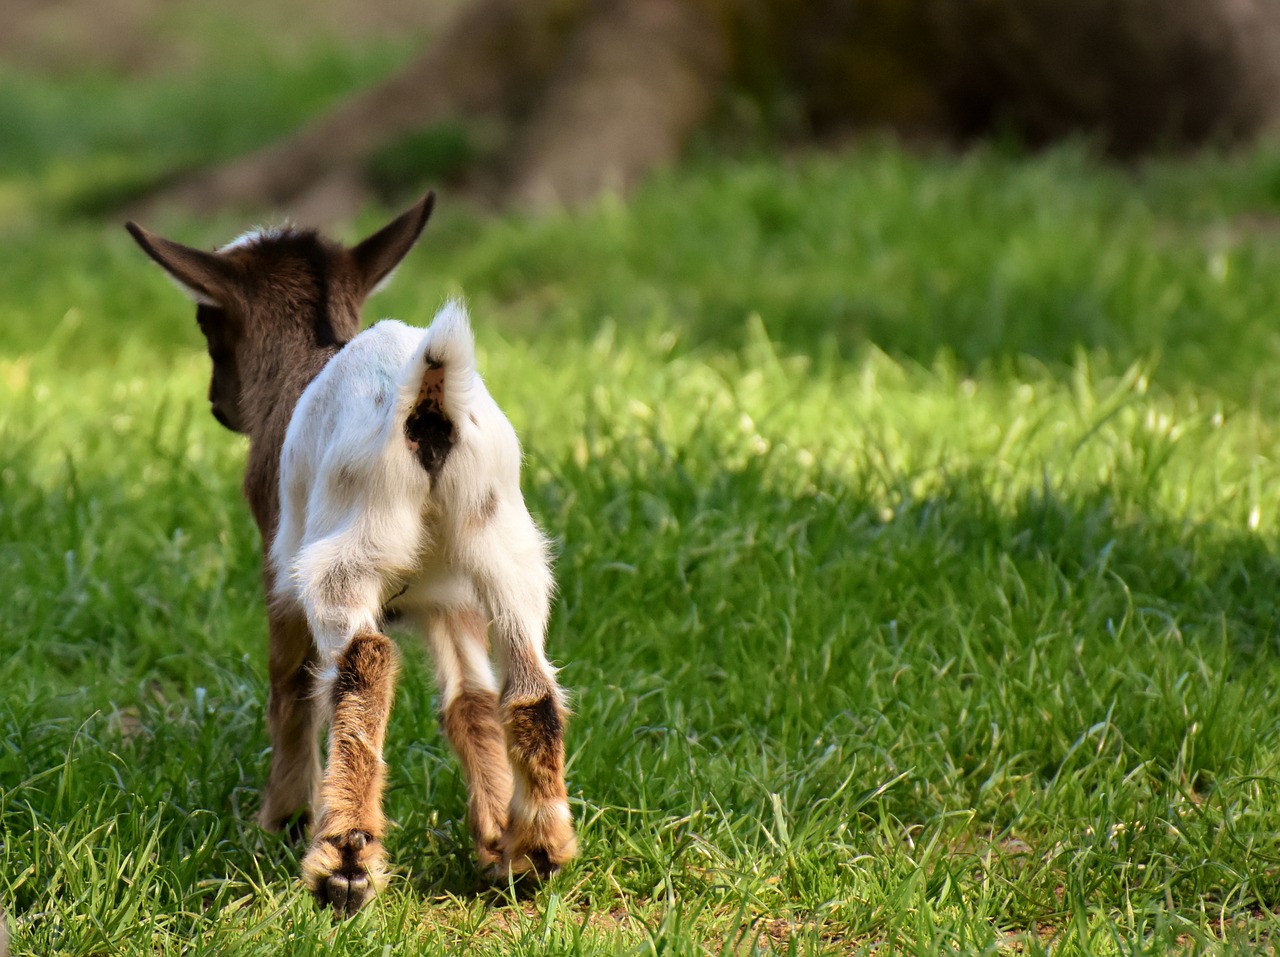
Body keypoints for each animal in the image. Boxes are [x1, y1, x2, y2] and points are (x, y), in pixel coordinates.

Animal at [123, 191, 576, 910]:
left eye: (205, 320)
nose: (218, 405)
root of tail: (428, 395)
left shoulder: (278, 562)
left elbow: (289, 682)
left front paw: (281, 816)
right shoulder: (448, 600)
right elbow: (470, 702)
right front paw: (493, 839)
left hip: (346, 554)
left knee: (365, 662)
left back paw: (344, 862)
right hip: (504, 546)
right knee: (531, 686)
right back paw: (537, 850)